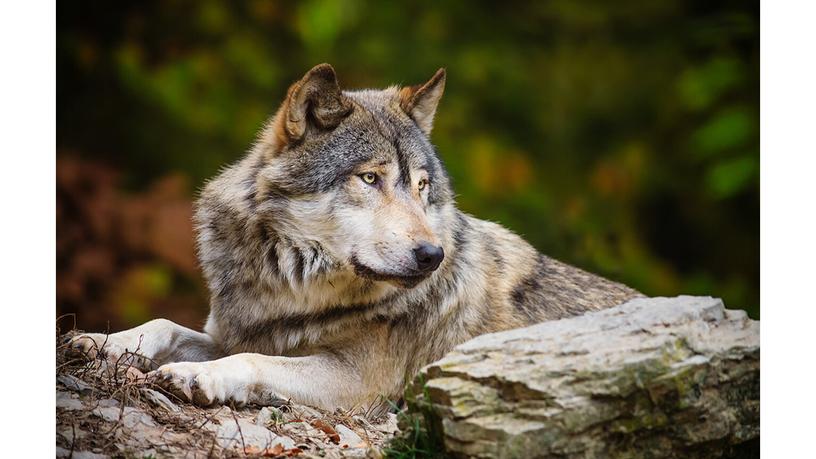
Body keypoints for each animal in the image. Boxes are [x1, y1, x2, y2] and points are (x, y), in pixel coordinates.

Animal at [68, 63, 644, 414]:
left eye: (421, 187)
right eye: (370, 179)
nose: (432, 255)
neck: (292, 289)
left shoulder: (357, 382)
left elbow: (254, 362)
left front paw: (198, 378)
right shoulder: (236, 331)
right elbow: (163, 325)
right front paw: (99, 341)